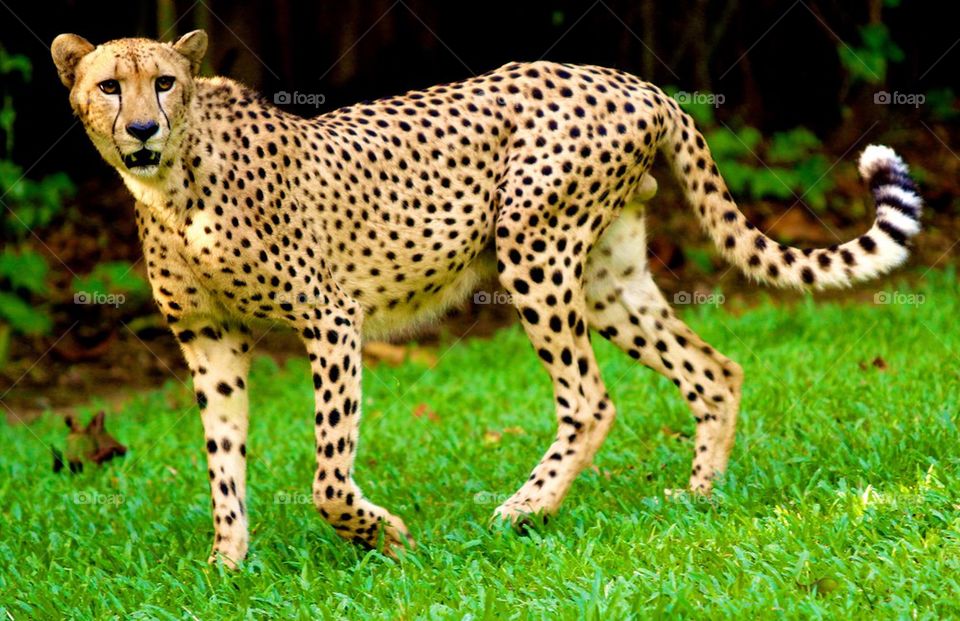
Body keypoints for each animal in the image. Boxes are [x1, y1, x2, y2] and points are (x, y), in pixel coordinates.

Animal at [52, 30, 924, 568]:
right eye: (110, 86)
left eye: (165, 82)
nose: (141, 129)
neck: (172, 183)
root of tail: (633, 79)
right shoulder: (210, 341)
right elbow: (222, 461)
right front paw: (226, 563)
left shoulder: (330, 319)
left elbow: (328, 473)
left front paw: (381, 535)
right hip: (608, 273)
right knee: (714, 369)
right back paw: (698, 495)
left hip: (532, 249)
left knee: (591, 397)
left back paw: (525, 508)